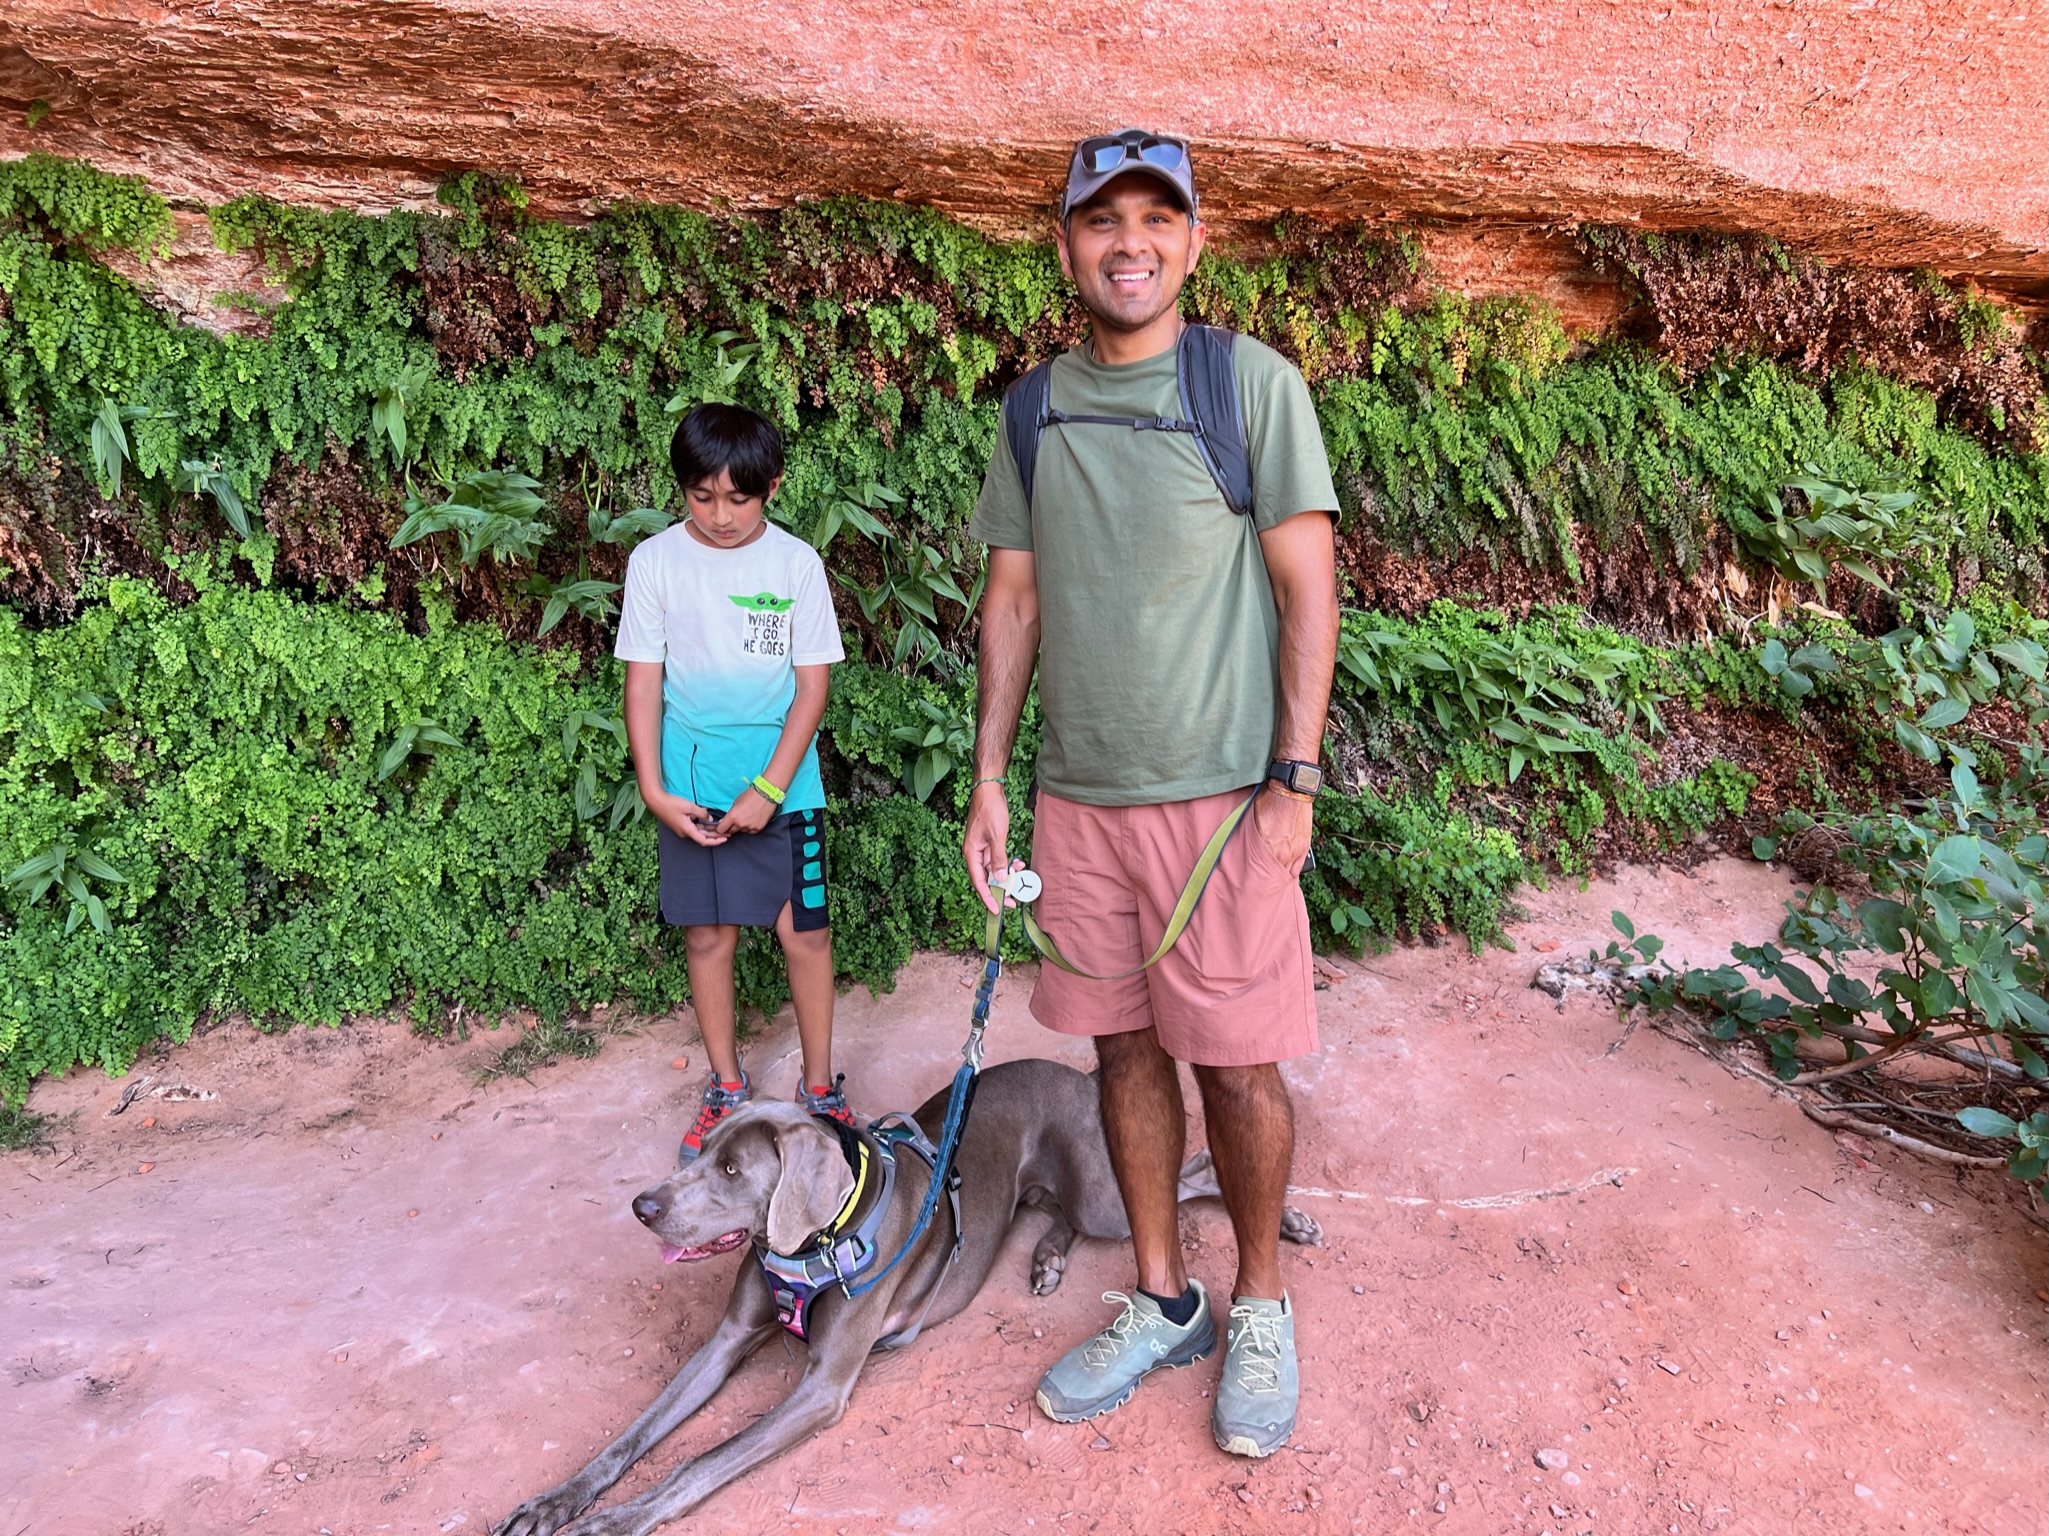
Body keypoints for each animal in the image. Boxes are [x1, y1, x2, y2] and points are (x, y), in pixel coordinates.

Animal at [504, 1056, 1319, 1536]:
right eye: (702, 1151)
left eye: (734, 1171)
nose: (642, 1207)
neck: (817, 1241)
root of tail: (1079, 1072)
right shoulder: (724, 1342)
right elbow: (634, 1435)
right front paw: (556, 1502)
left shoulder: (822, 1389)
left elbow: (698, 1461)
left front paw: (610, 1524)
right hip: (1055, 1193)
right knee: (1060, 1210)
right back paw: (1048, 1261)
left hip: (1106, 1198)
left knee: (1193, 1174)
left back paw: (1288, 1219)